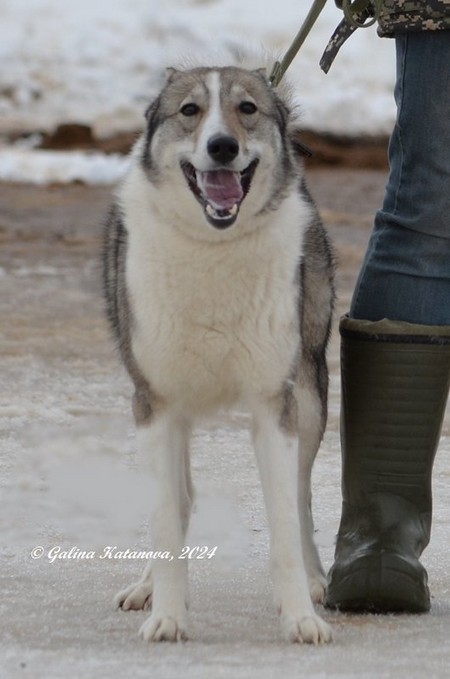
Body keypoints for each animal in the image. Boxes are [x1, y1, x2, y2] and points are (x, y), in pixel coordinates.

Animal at [102, 63, 335, 644]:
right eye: (190, 111)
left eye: (246, 109)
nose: (223, 146)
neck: (213, 246)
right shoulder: (155, 405)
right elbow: (165, 518)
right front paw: (167, 616)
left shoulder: (275, 406)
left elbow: (284, 522)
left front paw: (301, 616)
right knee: (179, 498)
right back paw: (146, 587)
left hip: (309, 398)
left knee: (301, 496)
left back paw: (318, 582)